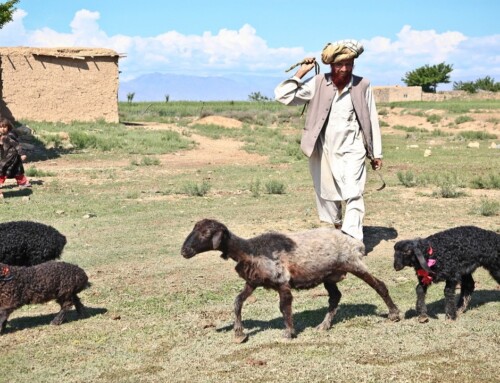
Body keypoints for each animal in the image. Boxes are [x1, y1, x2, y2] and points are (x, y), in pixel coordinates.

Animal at [180, 219, 398, 342]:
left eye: (206, 233)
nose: (184, 251)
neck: (248, 250)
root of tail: (355, 241)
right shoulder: (253, 281)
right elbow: (237, 301)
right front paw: (239, 334)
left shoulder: (282, 282)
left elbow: (284, 307)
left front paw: (288, 333)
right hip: (329, 275)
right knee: (335, 297)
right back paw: (324, 325)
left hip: (354, 263)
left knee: (379, 285)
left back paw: (394, 313)